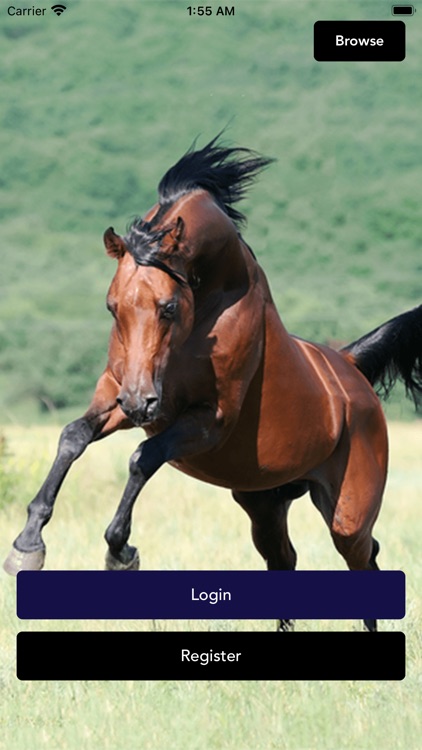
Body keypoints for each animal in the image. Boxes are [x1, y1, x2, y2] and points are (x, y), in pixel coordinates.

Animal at [5, 135, 422, 633]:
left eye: (167, 307)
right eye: (111, 306)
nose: (139, 403)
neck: (210, 305)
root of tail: (349, 365)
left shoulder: (207, 420)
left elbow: (142, 458)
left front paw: (120, 551)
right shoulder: (120, 393)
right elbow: (73, 437)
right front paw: (28, 545)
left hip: (348, 514)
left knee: (365, 559)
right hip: (265, 505)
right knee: (287, 559)